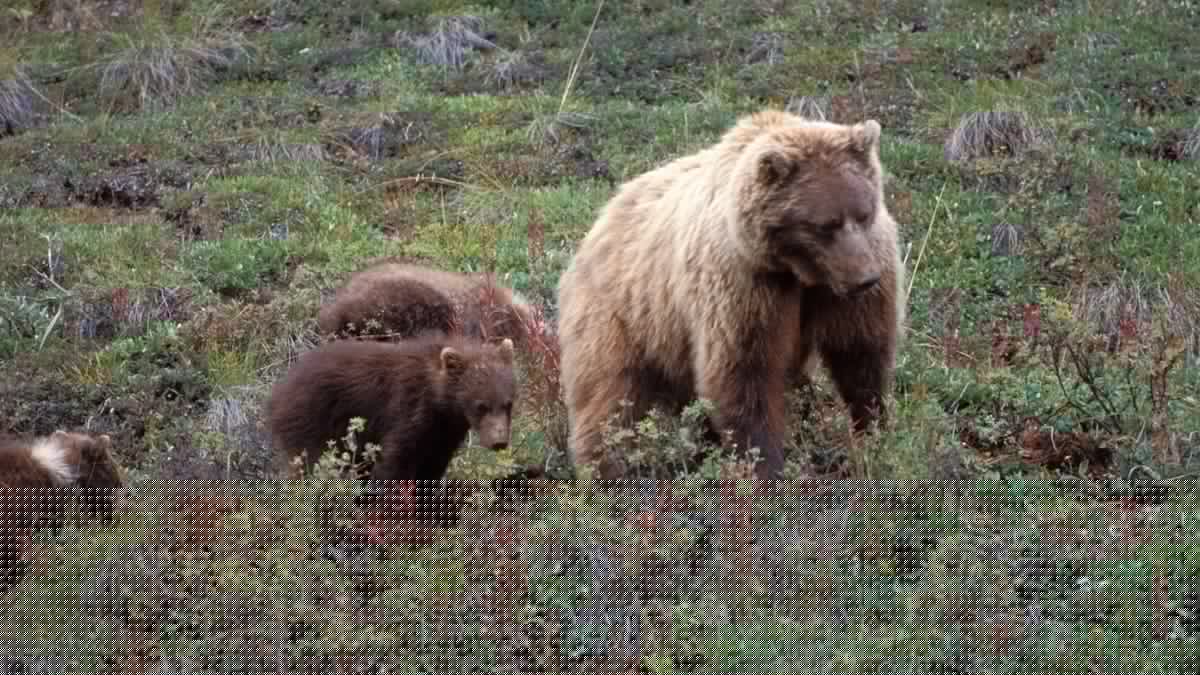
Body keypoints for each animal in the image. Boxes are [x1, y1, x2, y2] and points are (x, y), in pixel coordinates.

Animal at [556, 109, 906, 481]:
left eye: (864, 213)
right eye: (825, 224)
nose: (865, 278)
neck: (795, 269)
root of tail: (600, 220)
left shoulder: (850, 285)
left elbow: (861, 353)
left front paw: (872, 432)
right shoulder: (744, 283)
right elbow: (743, 371)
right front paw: (764, 464)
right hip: (624, 316)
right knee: (609, 394)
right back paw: (605, 467)